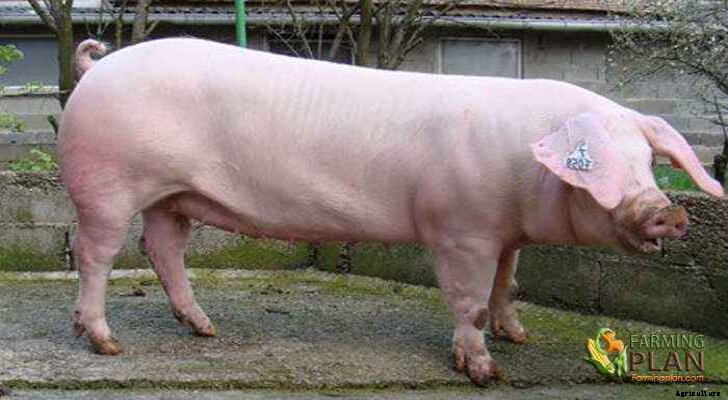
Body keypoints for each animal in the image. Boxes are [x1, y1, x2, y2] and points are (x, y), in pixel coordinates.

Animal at [59, 38, 723, 386]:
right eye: (602, 167)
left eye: (647, 161)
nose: (669, 212)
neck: (524, 168)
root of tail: (97, 65)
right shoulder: (459, 229)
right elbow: (471, 300)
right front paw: (484, 373)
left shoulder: (505, 234)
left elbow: (509, 285)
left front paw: (520, 338)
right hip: (105, 184)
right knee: (96, 254)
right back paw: (106, 345)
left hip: (172, 197)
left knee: (163, 249)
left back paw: (205, 329)